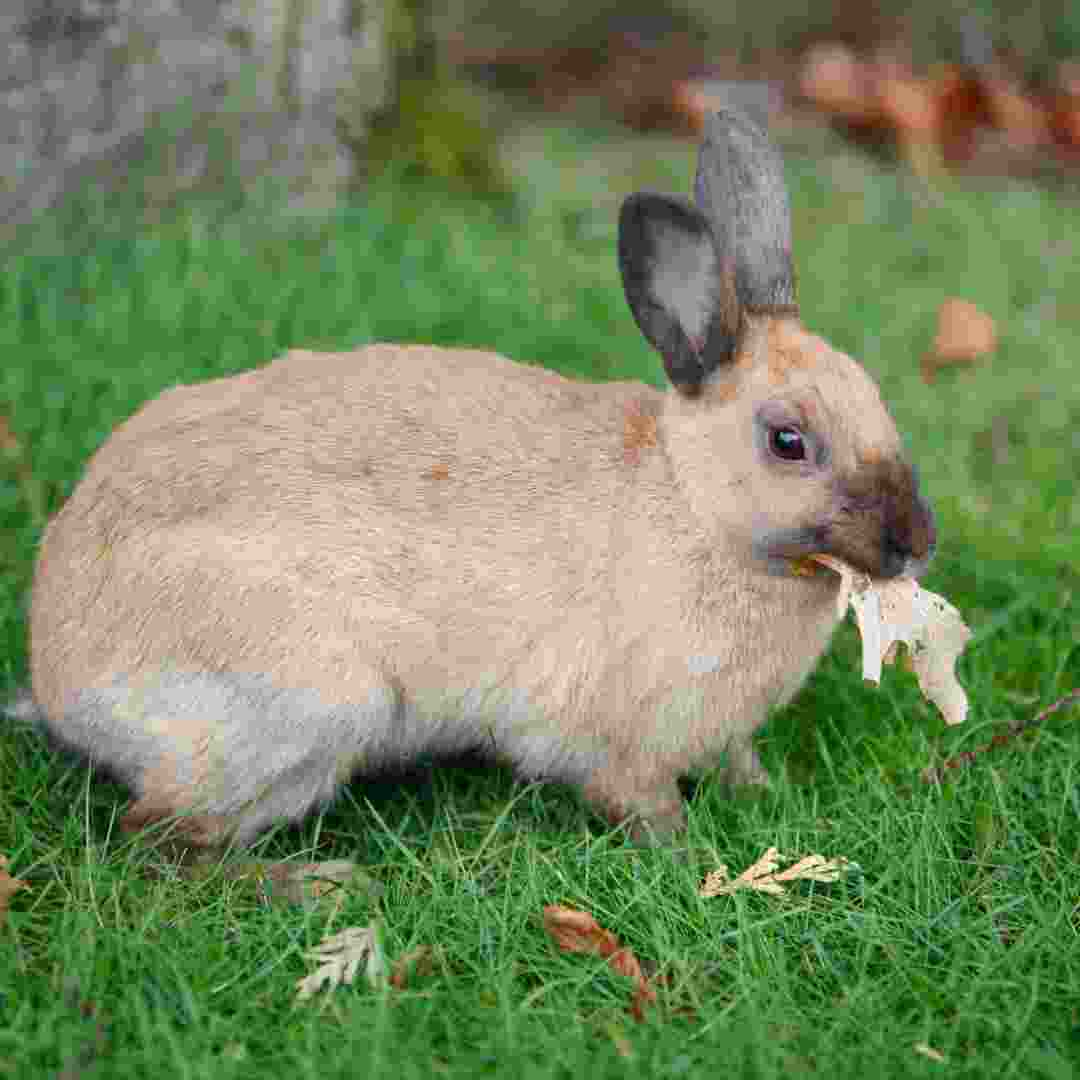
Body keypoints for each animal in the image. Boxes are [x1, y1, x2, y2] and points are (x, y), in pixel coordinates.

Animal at [27, 111, 937, 851]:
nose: (916, 542)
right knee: (162, 838)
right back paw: (315, 884)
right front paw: (691, 854)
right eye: (788, 441)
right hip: (314, 706)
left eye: (874, 395)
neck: (692, 504)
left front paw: (762, 794)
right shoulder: (625, 742)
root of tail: (57, 675)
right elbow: (642, 802)